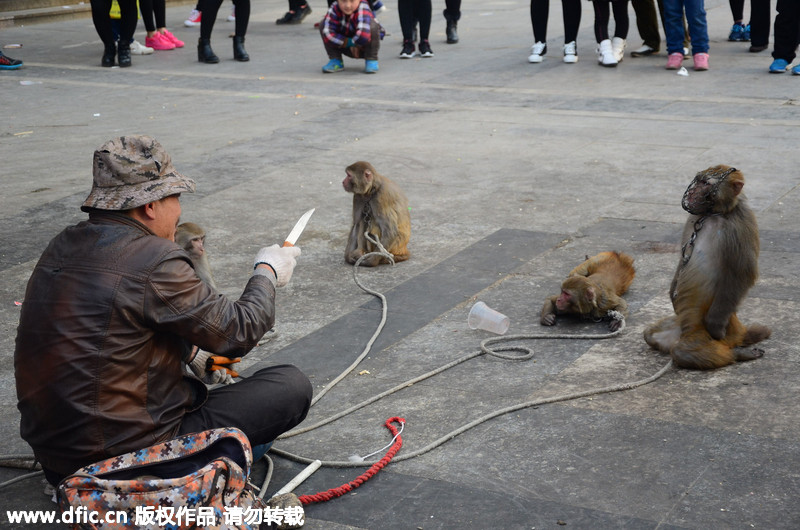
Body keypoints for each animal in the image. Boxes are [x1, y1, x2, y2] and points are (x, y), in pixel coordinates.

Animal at [644, 164, 768, 368]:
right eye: (698, 180)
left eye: (706, 184)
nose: (692, 192)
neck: (714, 214)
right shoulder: (693, 218)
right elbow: (682, 259)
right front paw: (672, 293)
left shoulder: (741, 221)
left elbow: (743, 273)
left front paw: (715, 326)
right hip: (678, 326)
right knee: (650, 335)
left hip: (710, 329)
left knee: (682, 352)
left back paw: (737, 352)